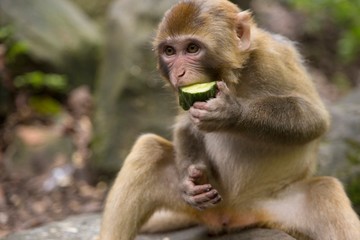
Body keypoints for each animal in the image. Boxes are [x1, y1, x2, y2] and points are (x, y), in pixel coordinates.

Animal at [100, 0, 360, 239]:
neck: (234, 74)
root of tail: (233, 212)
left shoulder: (274, 58)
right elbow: (185, 125)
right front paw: (190, 182)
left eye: (192, 48)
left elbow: (315, 119)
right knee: (149, 149)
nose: (179, 73)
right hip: (206, 204)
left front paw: (232, 113)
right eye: (170, 51)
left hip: (275, 206)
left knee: (324, 191)